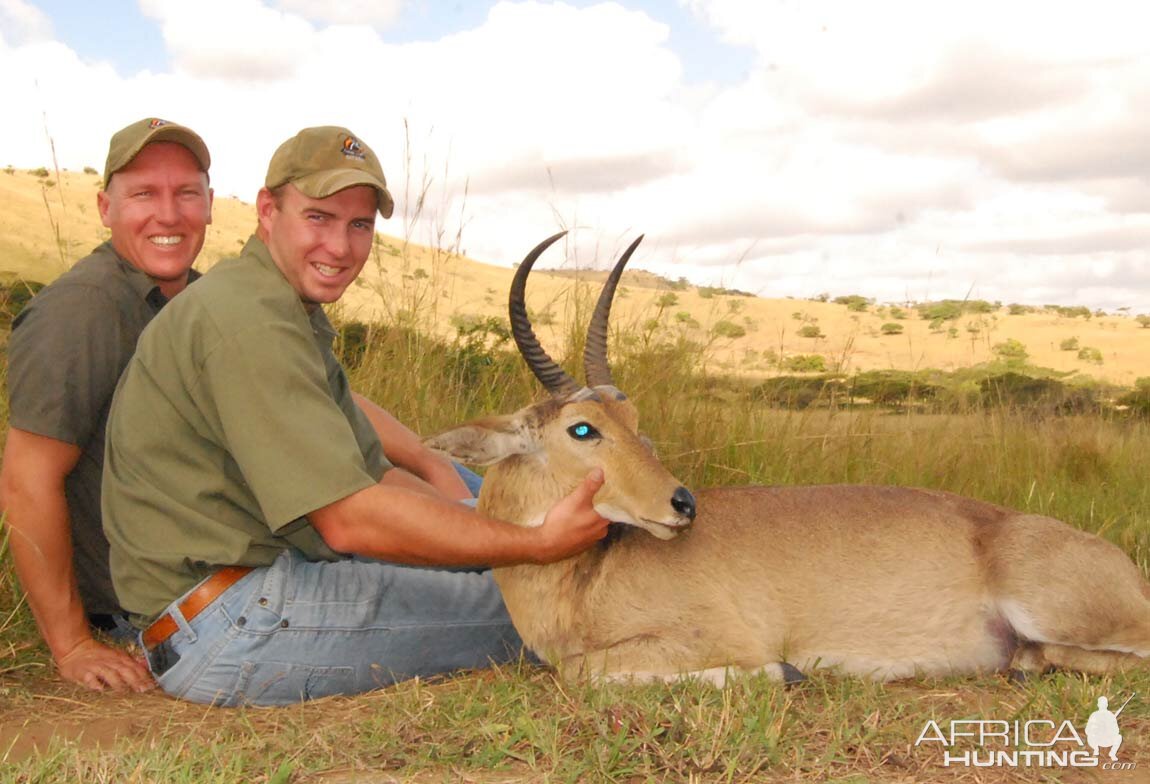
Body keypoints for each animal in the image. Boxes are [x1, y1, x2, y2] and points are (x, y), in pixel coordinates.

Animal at [430, 232, 1150, 685]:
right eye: (584, 428)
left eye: (635, 425)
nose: (682, 504)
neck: (583, 582)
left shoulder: (716, 637)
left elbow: (588, 673)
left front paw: (781, 671)